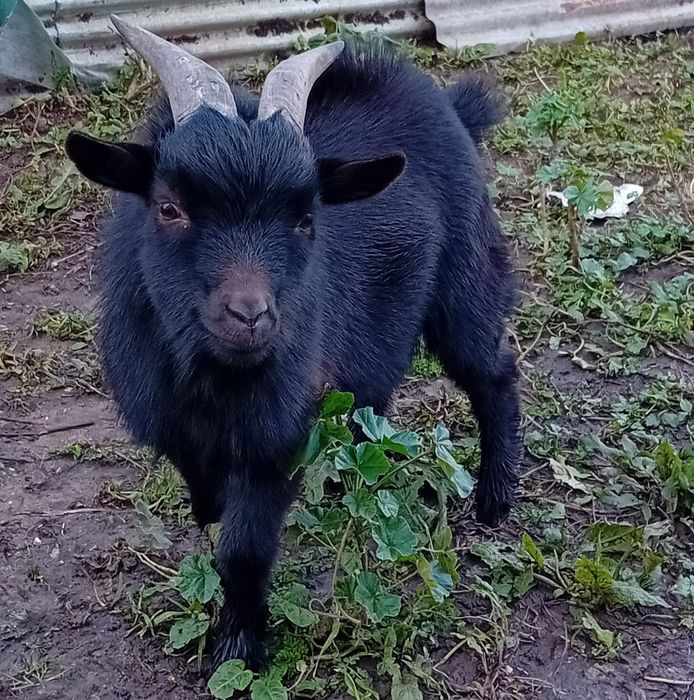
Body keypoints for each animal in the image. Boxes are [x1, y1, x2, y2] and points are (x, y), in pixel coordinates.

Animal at [66, 16, 521, 671]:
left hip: (465, 276)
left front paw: (237, 649)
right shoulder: (173, 424)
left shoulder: (271, 441)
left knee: (494, 371)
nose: (252, 317)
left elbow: (244, 550)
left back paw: (495, 496)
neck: (214, 383)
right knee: (374, 393)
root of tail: (451, 105)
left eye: (306, 218)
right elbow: (204, 499)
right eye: (169, 208)